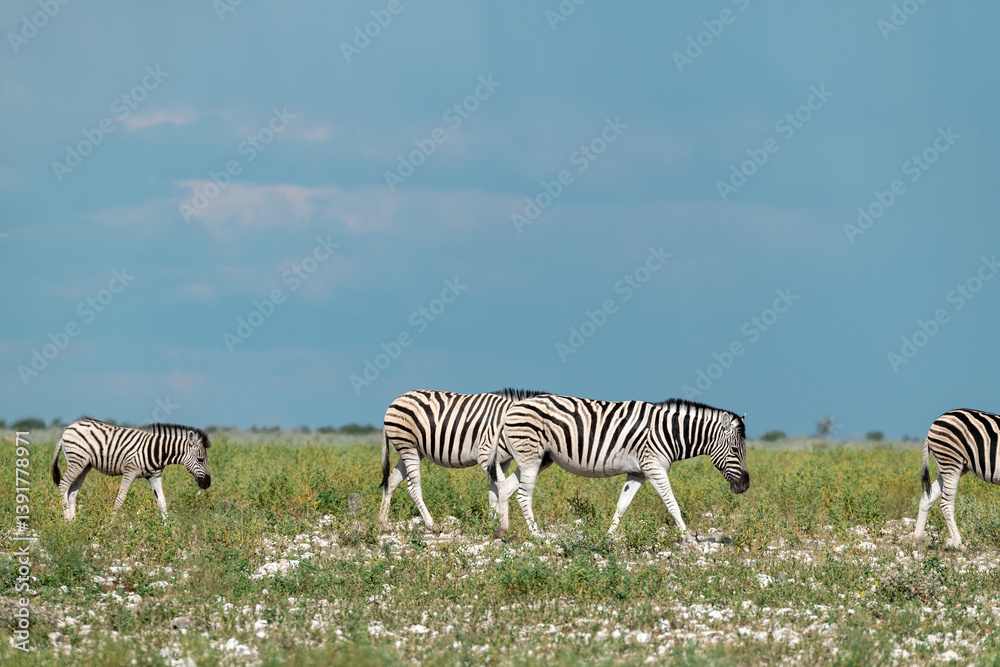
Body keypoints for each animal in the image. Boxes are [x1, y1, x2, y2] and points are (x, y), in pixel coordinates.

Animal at [50, 418, 211, 521]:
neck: (157, 451)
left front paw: (169, 531)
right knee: (63, 485)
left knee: (72, 492)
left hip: (84, 466)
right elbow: (120, 500)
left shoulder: (154, 476)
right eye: (200, 459)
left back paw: (74, 522)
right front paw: (107, 527)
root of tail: (68, 428)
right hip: (77, 461)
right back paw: (66, 520)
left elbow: (162, 502)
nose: (207, 484)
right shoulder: (129, 472)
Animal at [379, 388, 548, 530]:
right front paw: (499, 523)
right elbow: (501, 486)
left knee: (391, 480)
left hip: (411, 450)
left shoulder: (502, 462)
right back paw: (430, 524)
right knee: (413, 487)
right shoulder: (485, 455)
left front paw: (492, 522)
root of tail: (396, 400)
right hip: (408, 446)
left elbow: (494, 492)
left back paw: (383, 524)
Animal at [489, 394, 749, 540]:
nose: (745, 486)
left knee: (506, 488)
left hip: (540, 458)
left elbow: (622, 504)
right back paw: (537, 537)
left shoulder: (638, 472)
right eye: (735, 451)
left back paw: (501, 532)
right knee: (523, 495)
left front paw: (609, 537)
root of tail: (512, 407)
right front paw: (687, 538)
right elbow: (671, 502)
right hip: (531, 455)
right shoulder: (654, 467)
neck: (670, 432)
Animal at [908, 408, 1000, 550]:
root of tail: (938, 418)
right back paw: (960, 545)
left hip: (951, 466)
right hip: (951, 462)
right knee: (946, 504)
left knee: (927, 498)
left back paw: (916, 540)